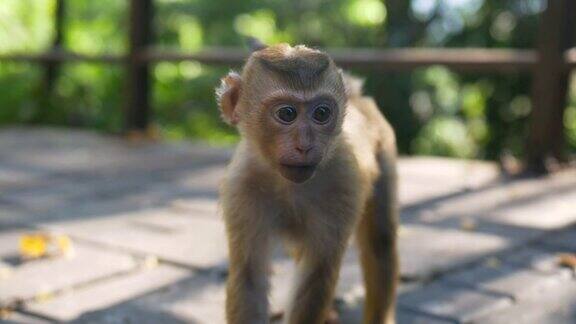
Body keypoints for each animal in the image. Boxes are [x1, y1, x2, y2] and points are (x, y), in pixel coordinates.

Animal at [217, 42, 400, 324]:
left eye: (322, 113)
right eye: (287, 113)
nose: (304, 144)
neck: (287, 184)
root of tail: (358, 98)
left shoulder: (343, 182)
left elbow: (318, 274)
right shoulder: (241, 189)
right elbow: (249, 276)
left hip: (385, 144)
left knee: (380, 240)